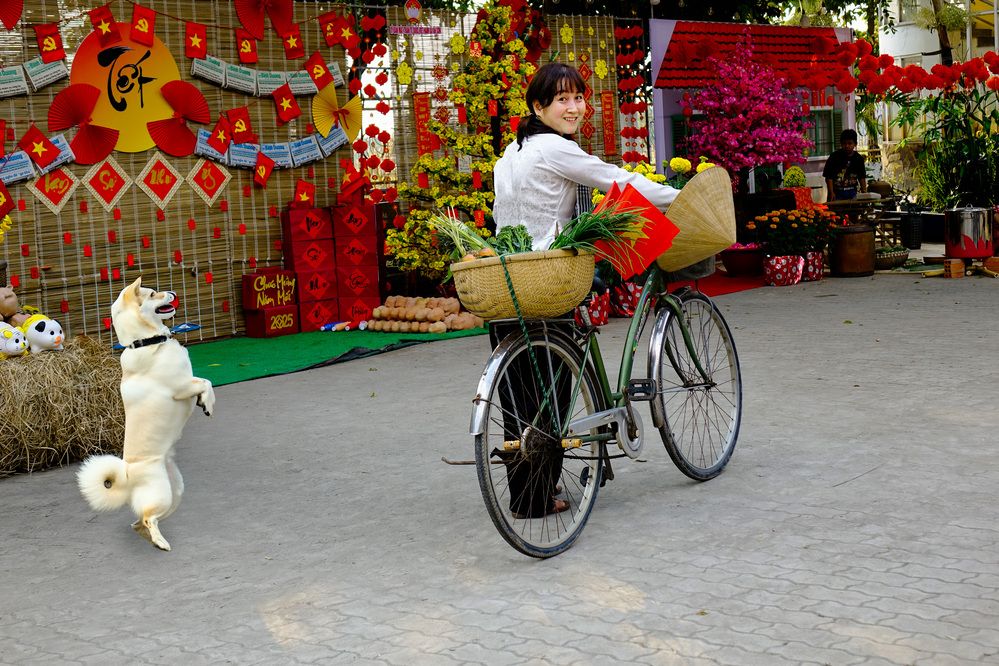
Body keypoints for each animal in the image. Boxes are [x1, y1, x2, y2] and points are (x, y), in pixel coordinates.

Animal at [77, 277, 215, 551]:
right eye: (152, 294)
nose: (172, 292)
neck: (149, 341)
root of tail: (127, 475)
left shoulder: (187, 382)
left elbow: (205, 382)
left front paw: (204, 402)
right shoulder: (181, 386)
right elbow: (207, 382)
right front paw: (208, 403)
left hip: (175, 493)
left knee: (140, 521)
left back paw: (152, 538)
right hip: (161, 494)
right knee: (148, 518)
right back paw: (161, 543)